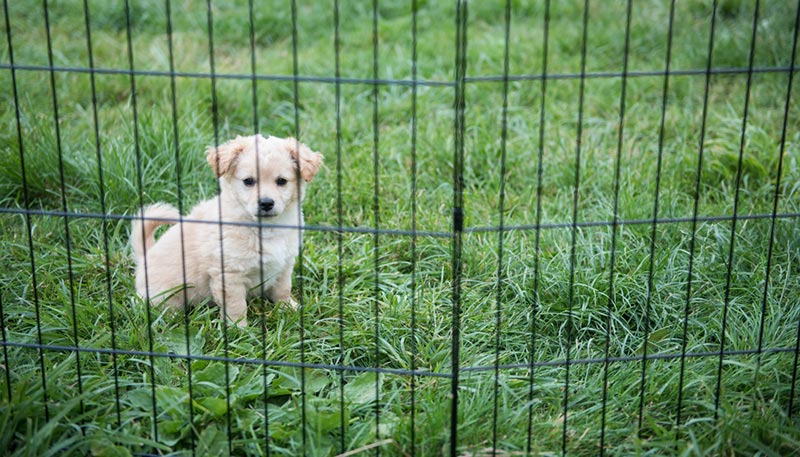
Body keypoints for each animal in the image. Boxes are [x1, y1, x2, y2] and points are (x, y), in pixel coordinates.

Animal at [131, 134, 322, 326]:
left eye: (281, 181)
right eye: (248, 181)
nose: (266, 203)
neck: (265, 229)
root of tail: (144, 256)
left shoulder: (284, 265)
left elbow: (282, 290)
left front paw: (289, 308)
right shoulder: (229, 275)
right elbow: (236, 305)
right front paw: (239, 328)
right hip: (165, 295)